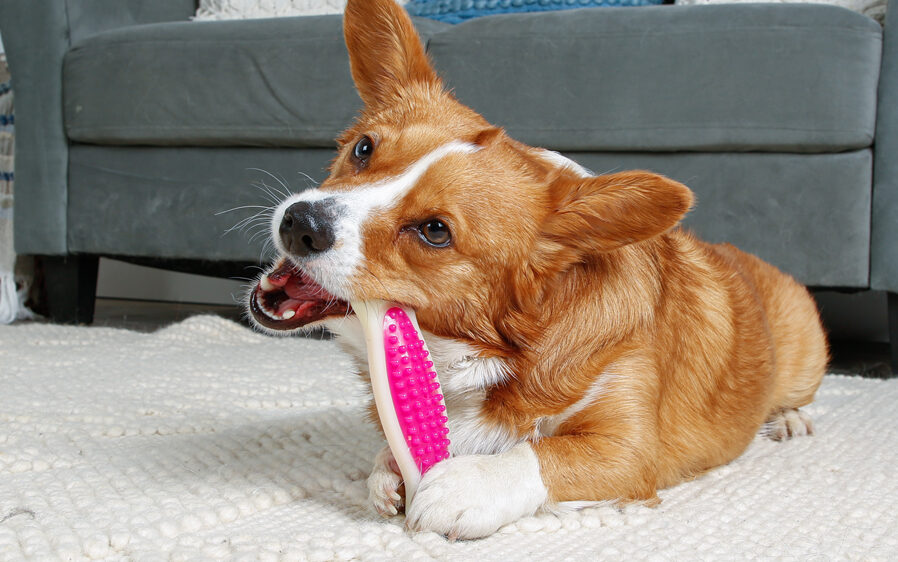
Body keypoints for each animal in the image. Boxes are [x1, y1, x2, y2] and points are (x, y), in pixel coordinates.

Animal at [245, 0, 824, 540]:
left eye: (435, 231)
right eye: (364, 149)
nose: (300, 223)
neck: (488, 351)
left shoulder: (630, 448)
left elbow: (540, 455)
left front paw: (463, 486)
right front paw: (387, 472)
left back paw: (790, 419)